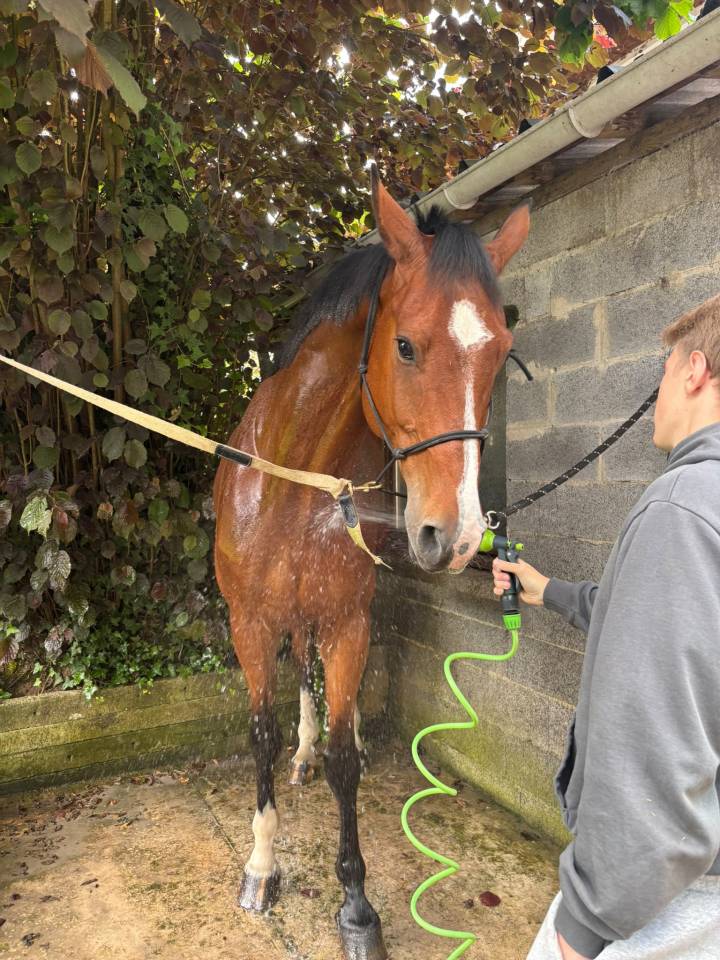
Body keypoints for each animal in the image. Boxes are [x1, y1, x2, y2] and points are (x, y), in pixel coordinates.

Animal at [212, 169, 529, 960]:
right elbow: (260, 735)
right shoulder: (249, 623)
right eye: (406, 345)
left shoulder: (348, 621)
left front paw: (356, 908)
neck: (292, 484)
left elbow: (345, 762)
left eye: (502, 354)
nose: (455, 535)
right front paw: (261, 867)